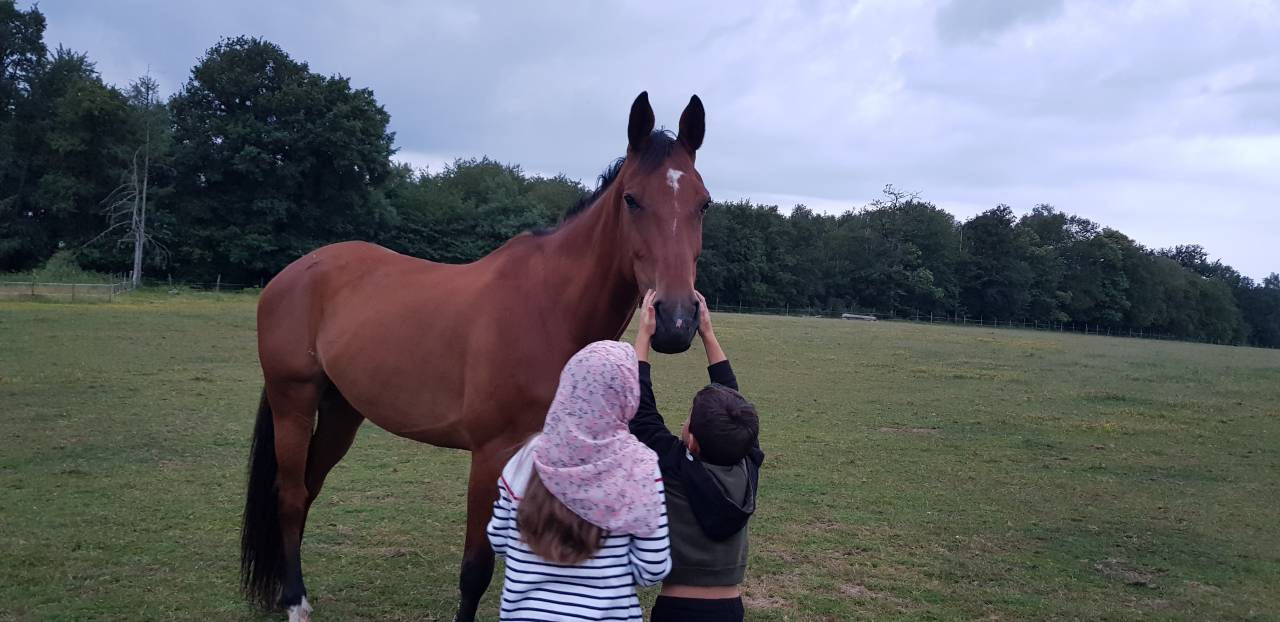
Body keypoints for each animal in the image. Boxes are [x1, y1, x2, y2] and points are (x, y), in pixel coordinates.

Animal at [241, 91, 712, 622]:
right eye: (632, 199)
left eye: (704, 204)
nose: (676, 320)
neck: (548, 307)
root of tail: (293, 273)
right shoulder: (491, 456)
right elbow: (475, 570)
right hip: (294, 402)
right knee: (291, 495)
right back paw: (294, 600)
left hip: (341, 411)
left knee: (308, 487)